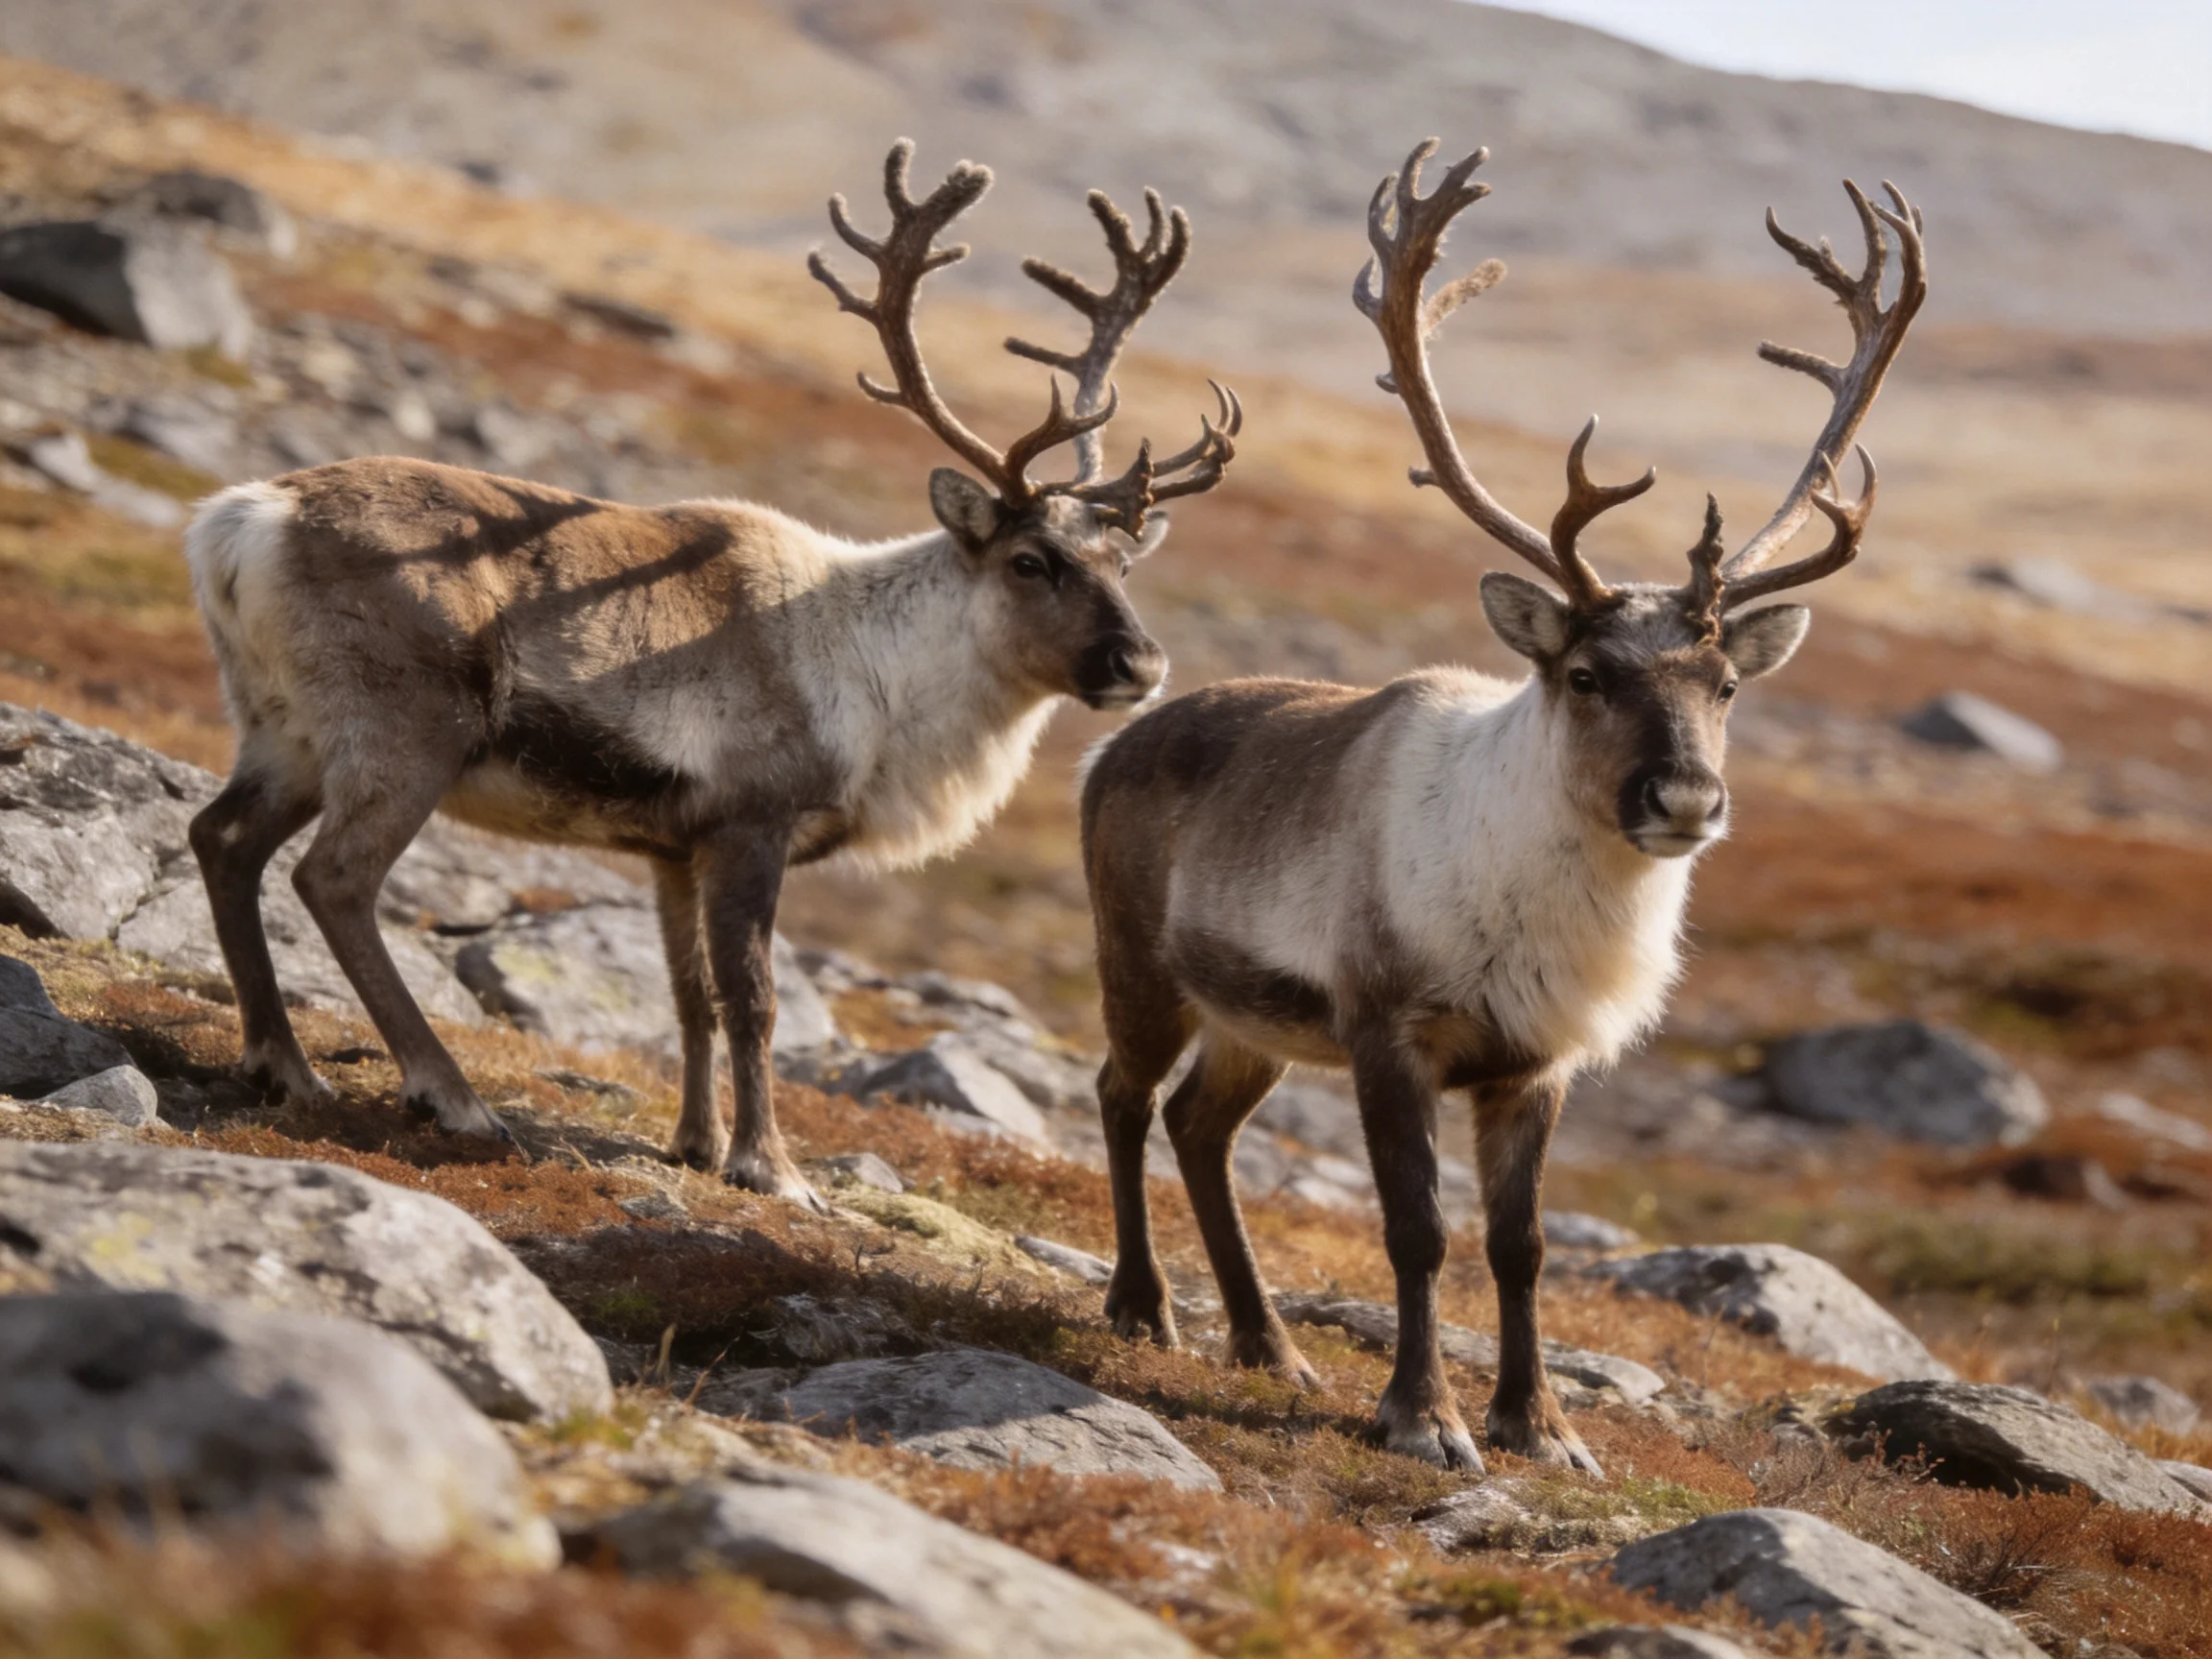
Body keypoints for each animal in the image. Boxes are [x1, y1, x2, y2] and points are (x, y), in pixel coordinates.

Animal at [182, 140, 1238, 1211]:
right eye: (1031, 561)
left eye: (1122, 565)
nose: (1142, 663)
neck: (881, 677)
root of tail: (244, 519)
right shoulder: (749, 824)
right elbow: (752, 999)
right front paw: (770, 1166)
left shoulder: (670, 846)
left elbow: (689, 995)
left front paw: (693, 1142)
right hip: (404, 736)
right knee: (334, 878)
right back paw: (454, 1097)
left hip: (283, 730)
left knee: (222, 839)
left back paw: (284, 1064)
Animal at [1079, 140, 1925, 1474]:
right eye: (1586, 675)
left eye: (1728, 684)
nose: (1687, 797)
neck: (1546, 907)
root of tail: (1116, 740)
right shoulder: (1391, 1029)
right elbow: (1418, 1231)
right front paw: (1423, 1419)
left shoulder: (1535, 1066)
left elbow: (1517, 1246)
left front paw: (1540, 1425)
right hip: (1142, 963)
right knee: (1122, 1098)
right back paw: (1144, 1306)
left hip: (1253, 1019)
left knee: (1199, 1127)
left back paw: (1269, 1344)